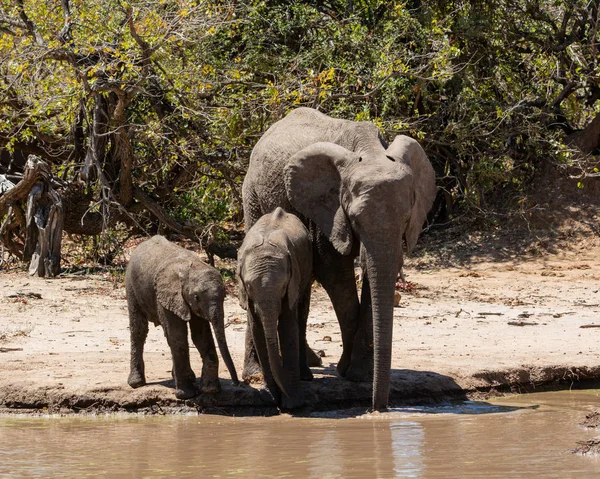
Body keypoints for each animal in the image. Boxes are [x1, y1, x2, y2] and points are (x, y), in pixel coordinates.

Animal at [125, 234, 238, 400]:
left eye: (224, 297)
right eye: (196, 297)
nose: (237, 383)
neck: (191, 268)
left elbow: (200, 335)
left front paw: (210, 389)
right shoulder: (166, 295)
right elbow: (177, 334)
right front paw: (187, 395)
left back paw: (188, 376)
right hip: (131, 285)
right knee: (139, 330)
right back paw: (136, 383)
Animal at [237, 206, 314, 408]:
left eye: (282, 286)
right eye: (249, 286)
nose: (281, 394)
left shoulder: (292, 282)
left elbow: (287, 327)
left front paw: (293, 403)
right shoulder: (249, 297)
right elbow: (258, 330)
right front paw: (270, 398)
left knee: (301, 314)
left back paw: (305, 376)